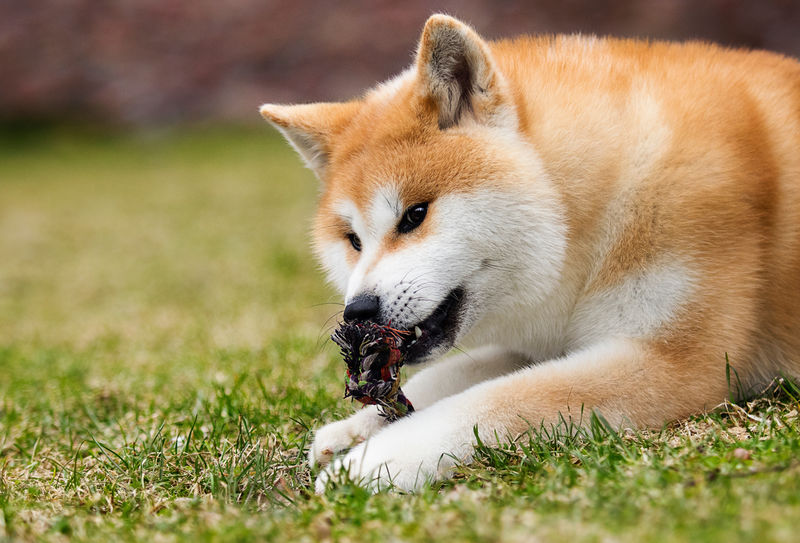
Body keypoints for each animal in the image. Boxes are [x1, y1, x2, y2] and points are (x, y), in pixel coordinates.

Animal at [260, 13, 800, 492]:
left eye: (414, 214)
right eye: (352, 240)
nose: (359, 311)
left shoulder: (674, 364)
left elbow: (492, 400)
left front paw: (376, 461)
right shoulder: (544, 337)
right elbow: (453, 374)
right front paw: (354, 427)